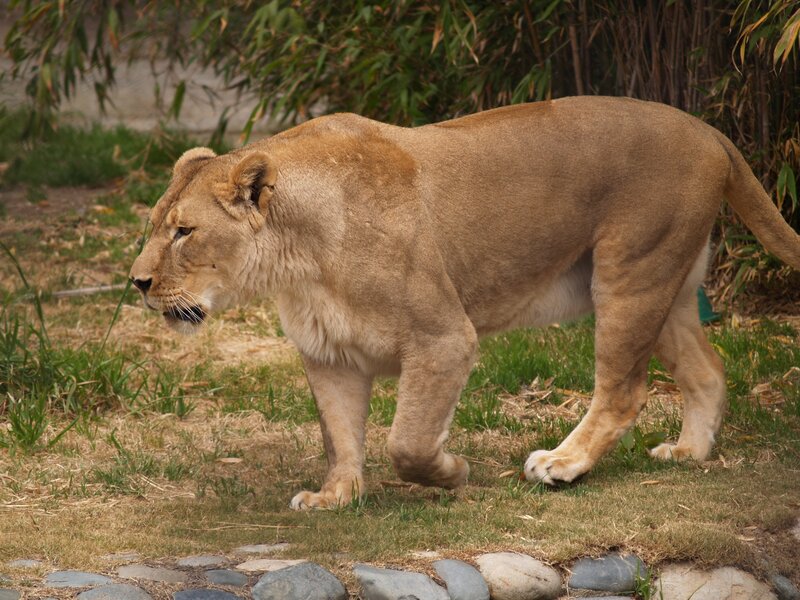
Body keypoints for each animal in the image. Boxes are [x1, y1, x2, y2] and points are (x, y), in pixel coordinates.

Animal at [130, 96, 800, 509]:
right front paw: (336, 496)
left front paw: (452, 474)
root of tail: (711, 130)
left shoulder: (442, 337)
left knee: (623, 391)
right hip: (667, 286)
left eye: (185, 232)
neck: (298, 261)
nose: (137, 283)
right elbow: (342, 437)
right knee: (708, 370)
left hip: (629, 275)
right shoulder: (330, 354)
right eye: (156, 224)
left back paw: (563, 464)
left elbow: (409, 440)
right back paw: (688, 453)